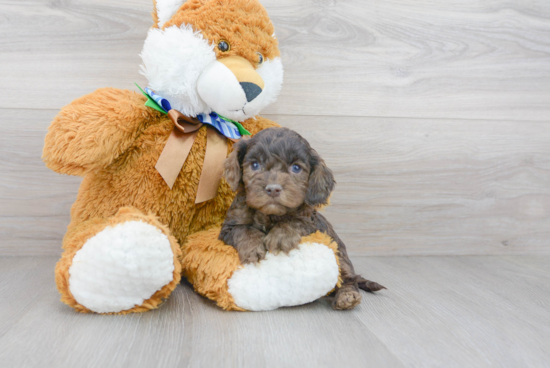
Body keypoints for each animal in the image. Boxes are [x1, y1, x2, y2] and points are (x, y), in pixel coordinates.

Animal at [221, 128, 388, 310]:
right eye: (255, 165)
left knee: (348, 279)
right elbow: (242, 229)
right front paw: (253, 247)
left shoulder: (311, 223)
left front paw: (281, 236)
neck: (271, 214)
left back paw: (347, 296)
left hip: (340, 254)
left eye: (296, 168)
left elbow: (295, 221)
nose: (273, 189)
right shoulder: (228, 227)